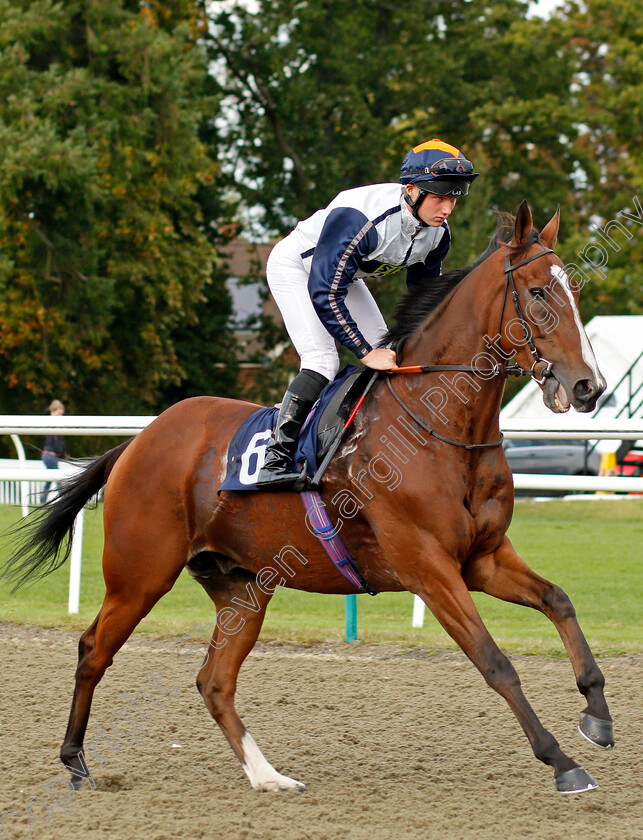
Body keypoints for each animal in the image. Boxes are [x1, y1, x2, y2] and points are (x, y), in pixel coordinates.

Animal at [6, 202, 620, 796]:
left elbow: (560, 601)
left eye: (574, 289)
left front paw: (597, 716)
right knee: (93, 649)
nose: (589, 386)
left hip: (242, 587)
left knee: (214, 680)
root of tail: (138, 440)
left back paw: (269, 776)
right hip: (140, 575)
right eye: (538, 292)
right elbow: (495, 663)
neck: (440, 424)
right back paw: (76, 762)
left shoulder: (483, 558)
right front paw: (562, 762)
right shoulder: (429, 567)